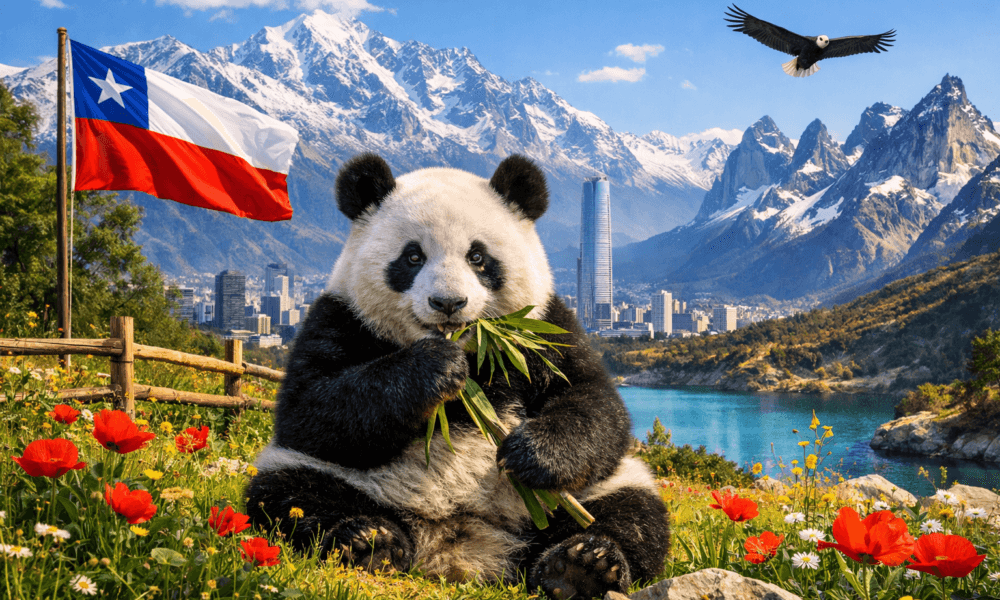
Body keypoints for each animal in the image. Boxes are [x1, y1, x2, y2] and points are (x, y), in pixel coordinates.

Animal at [245, 153, 671, 599]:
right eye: (413, 257)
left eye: (478, 257)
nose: (448, 303)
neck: (473, 351)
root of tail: (457, 548)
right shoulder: (340, 317)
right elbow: (311, 409)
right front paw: (434, 368)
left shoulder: (544, 328)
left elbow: (594, 402)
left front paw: (531, 452)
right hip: (335, 479)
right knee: (292, 493)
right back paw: (369, 542)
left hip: (567, 499)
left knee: (631, 511)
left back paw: (582, 565)